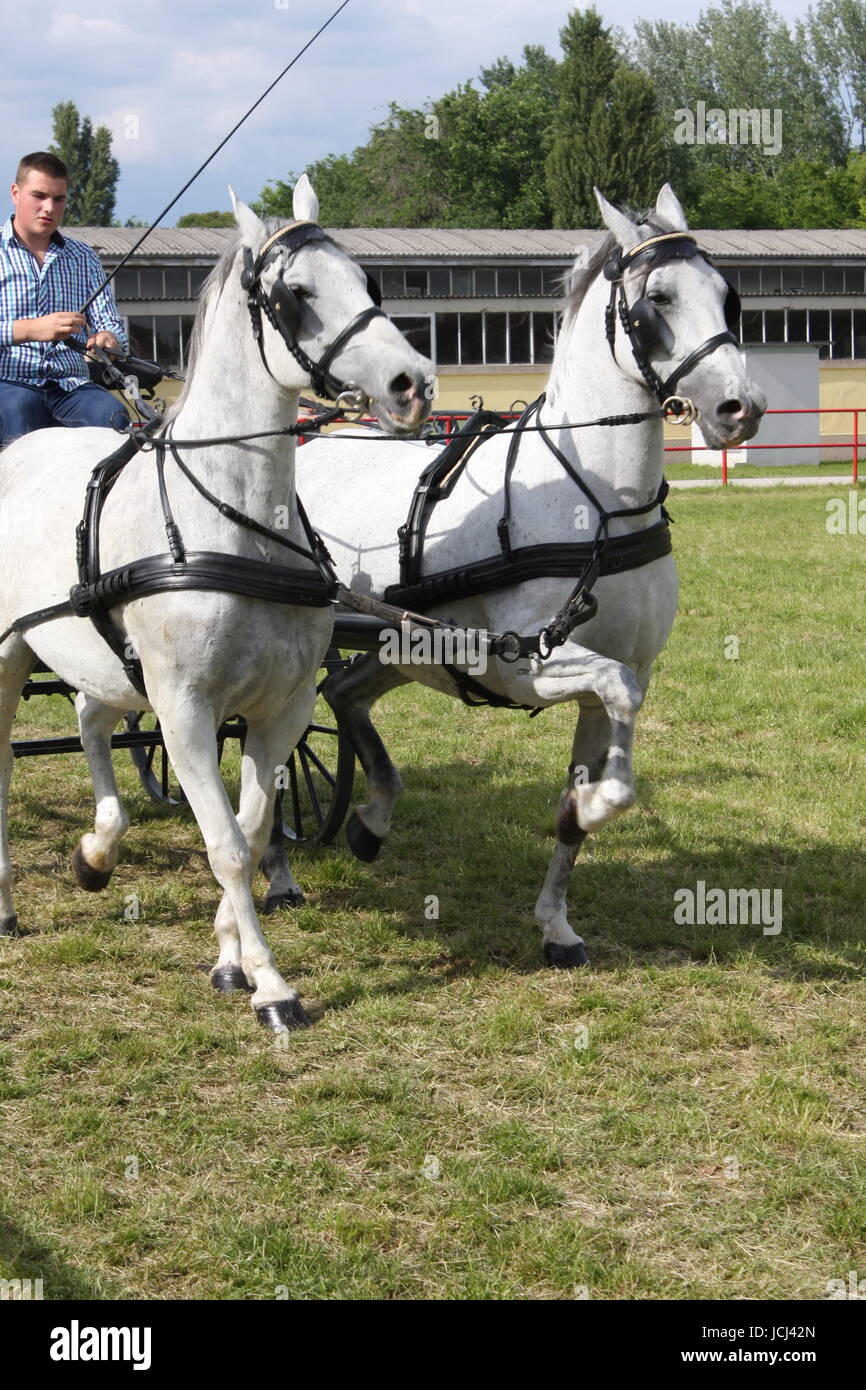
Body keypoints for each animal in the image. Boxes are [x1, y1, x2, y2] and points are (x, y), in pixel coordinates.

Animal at [0, 176, 433, 1034]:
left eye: (369, 281)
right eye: (297, 294)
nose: (414, 385)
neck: (235, 523)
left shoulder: (281, 707)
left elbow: (254, 827)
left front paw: (230, 957)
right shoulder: (187, 708)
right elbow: (227, 844)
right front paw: (271, 987)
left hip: (96, 656)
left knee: (91, 721)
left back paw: (97, 851)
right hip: (7, 656)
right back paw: (7, 899)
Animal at [284, 184, 767, 967]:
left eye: (729, 296)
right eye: (656, 299)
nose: (739, 409)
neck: (598, 504)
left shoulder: (621, 676)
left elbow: (581, 795)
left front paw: (557, 924)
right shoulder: (525, 666)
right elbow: (611, 721)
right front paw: (604, 802)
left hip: (407, 642)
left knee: (344, 692)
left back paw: (370, 821)